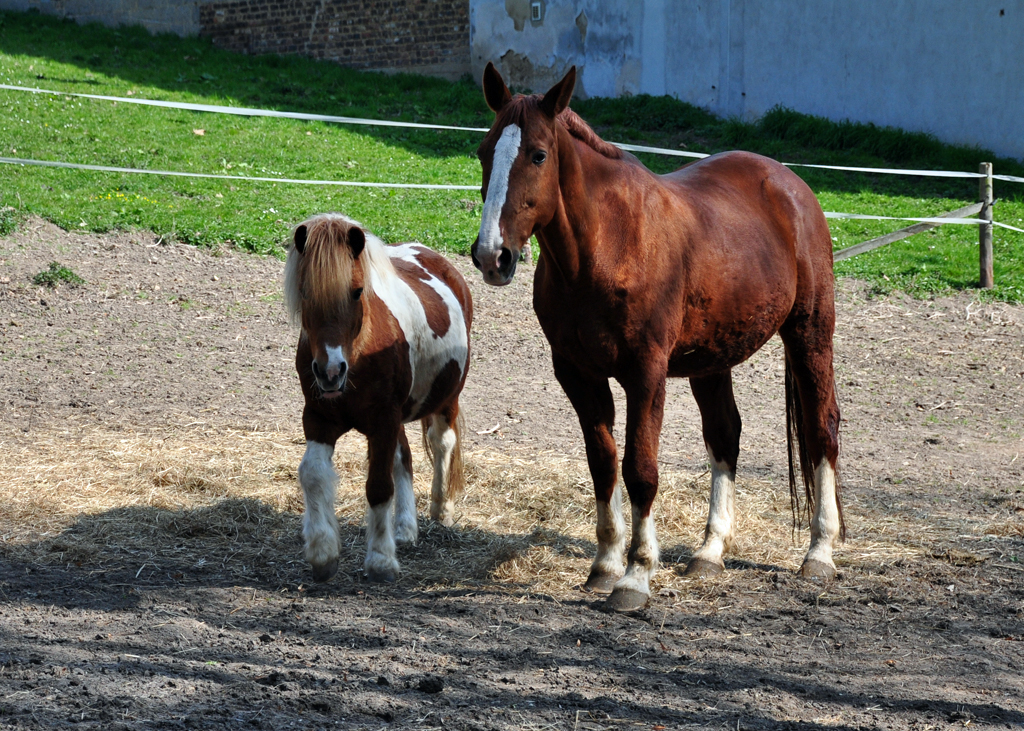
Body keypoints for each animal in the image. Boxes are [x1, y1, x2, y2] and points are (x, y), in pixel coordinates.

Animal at [286, 211, 473, 581]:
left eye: (357, 292)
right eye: (304, 291)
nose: (330, 372)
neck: (360, 353)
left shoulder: (383, 420)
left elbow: (378, 486)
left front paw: (381, 560)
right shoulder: (318, 418)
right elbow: (313, 474)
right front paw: (323, 553)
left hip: (446, 400)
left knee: (442, 443)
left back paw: (441, 508)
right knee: (405, 457)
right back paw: (405, 528)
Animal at [471, 63, 839, 610]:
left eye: (538, 154)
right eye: (484, 151)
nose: (491, 256)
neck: (607, 246)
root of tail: (790, 184)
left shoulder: (646, 373)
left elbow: (640, 469)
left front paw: (635, 576)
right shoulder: (578, 374)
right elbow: (603, 465)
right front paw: (605, 565)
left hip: (809, 336)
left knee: (821, 430)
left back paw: (819, 553)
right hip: (713, 359)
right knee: (725, 434)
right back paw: (710, 552)